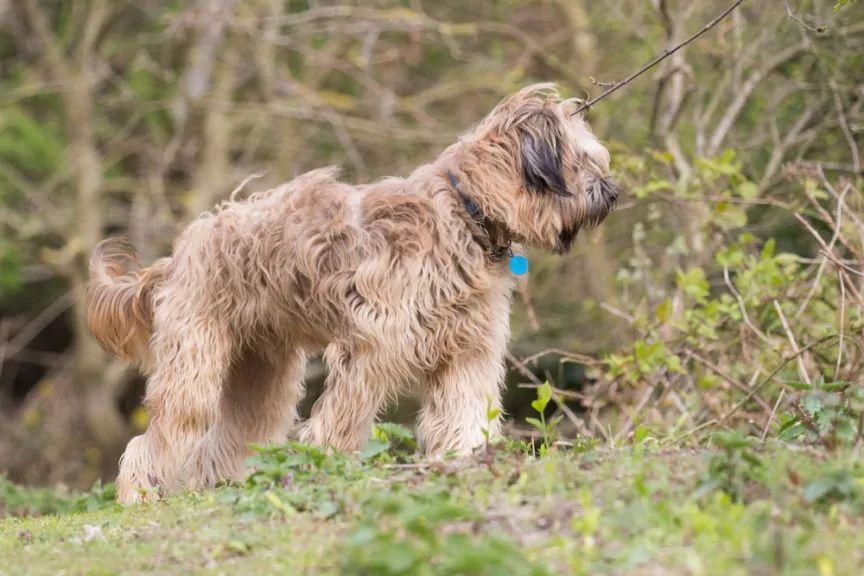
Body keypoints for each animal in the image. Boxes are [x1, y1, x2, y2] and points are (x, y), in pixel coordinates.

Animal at [86, 83, 616, 502]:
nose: (611, 193)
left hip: (261, 373)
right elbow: (342, 418)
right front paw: (325, 465)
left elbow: (465, 409)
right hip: (195, 364)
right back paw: (139, 493)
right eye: (582, 161)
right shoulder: (371, 349)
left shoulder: (469, 350)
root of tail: (178, 256)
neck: (466, 210)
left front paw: (465, 459)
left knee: (230, 435)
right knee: (157, 437)